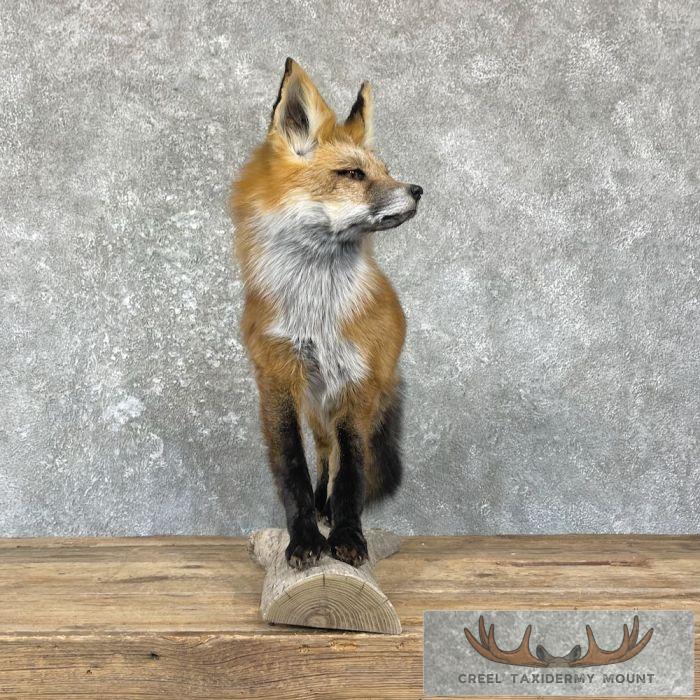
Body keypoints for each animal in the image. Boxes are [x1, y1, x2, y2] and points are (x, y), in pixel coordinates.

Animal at [230, 58, 422, 570]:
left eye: (386, 171)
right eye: (352, 174)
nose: (417, 189)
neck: (317, 312)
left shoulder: (355, 382)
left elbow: (351, 473)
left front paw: (348, 537)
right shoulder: (277, 376)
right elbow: (292, 468)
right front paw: (304, 539)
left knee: (338, 459)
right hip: (317, 406)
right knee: (320, 453)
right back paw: (319, 512)